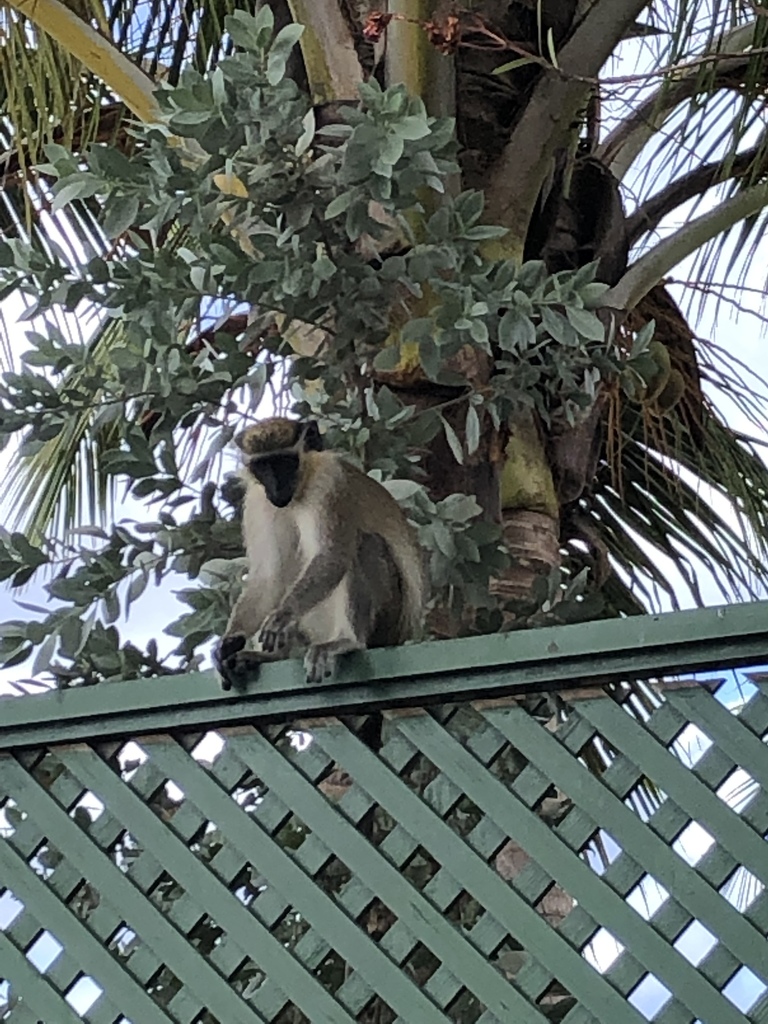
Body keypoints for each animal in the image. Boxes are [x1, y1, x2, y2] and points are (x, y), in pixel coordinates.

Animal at [215, 413, 428, 688]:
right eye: (262, 466)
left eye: (284, 462)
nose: (276, 488)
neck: (301, 486)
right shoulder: (257, 501)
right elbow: (268, 577)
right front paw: (231, 641)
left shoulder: (328, 482)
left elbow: (333, 554)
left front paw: (285, 613)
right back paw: (270, 657)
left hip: (387, 622)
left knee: (364, 545)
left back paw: (348, 641)